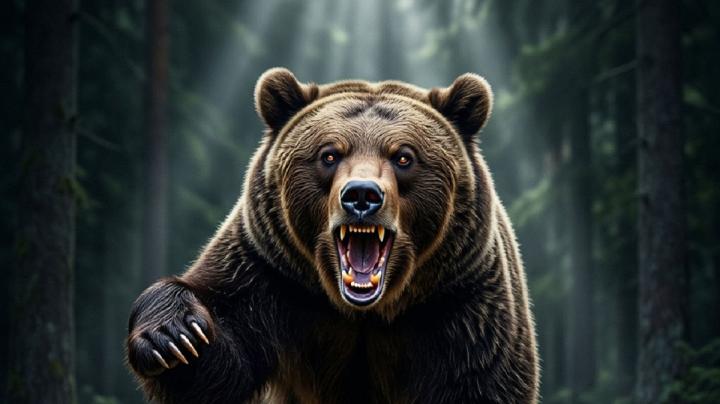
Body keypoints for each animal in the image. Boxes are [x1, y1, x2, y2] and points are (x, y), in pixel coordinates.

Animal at [126, 67, 539, 403]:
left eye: (403, 156)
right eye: (329, 154)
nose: (362, 195)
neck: (364, 311)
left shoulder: (461, 304)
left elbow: (480, 380)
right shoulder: (271, 275)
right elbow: (220, 358)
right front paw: (175, 336)